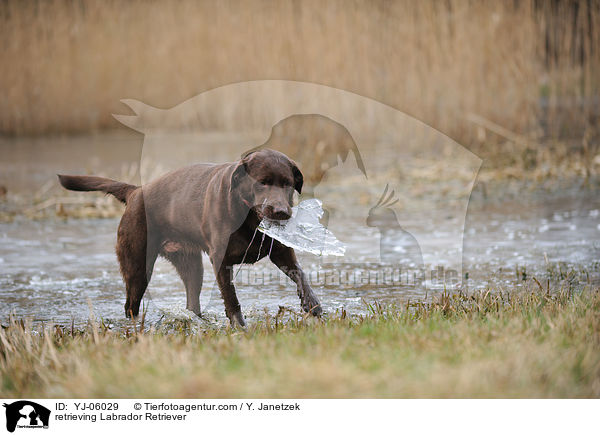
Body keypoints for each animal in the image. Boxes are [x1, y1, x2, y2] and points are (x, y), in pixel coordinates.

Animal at [59, 150, 324, 328]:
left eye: (288, 184)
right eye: (262, 182)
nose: (281, 212)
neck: (248, 217)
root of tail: (135, 192)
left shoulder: (281, 251)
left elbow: (300, 274)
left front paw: (312, 305)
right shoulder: (221, 260)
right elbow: (231, 298)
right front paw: (239, 327)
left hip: (191, 266)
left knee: (192, 303)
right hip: (137, 266)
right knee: (130, 306)